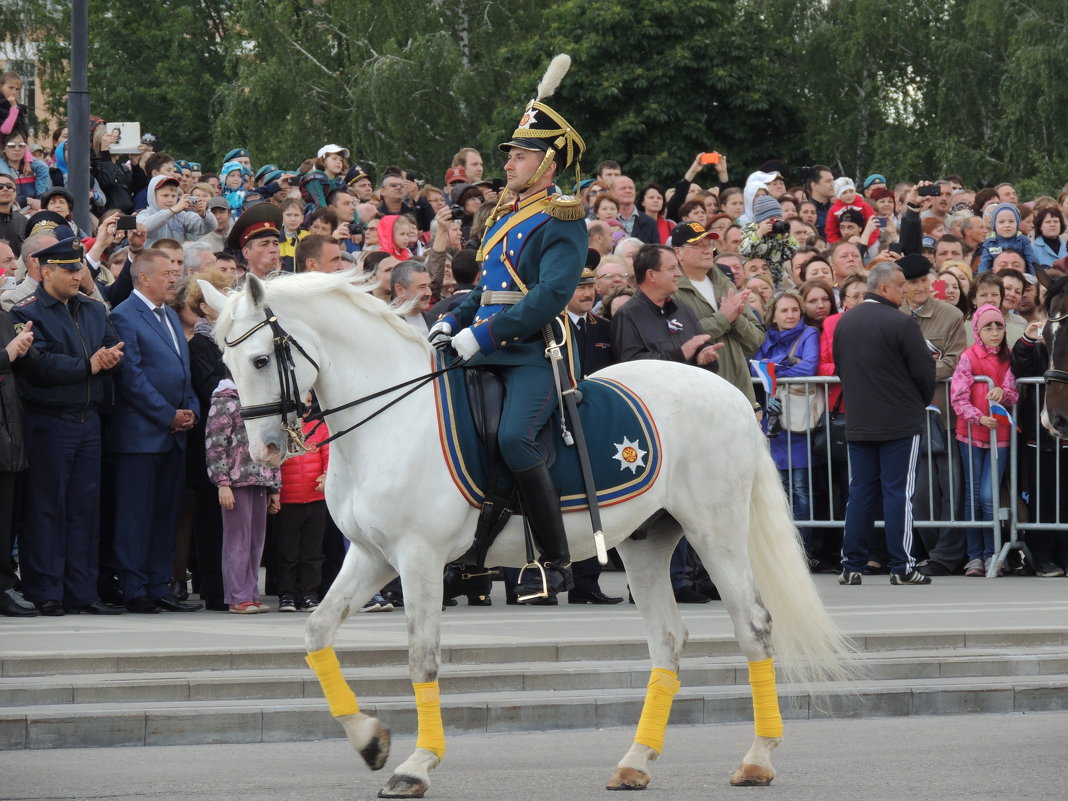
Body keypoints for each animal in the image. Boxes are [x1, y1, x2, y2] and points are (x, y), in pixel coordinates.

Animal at [200, 273, 850, 798]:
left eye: (258, 361)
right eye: (225, 367)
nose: (265, 451)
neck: (389, 419)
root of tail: (730, 393)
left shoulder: (416, 559)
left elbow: (421, 658)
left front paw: (415, 764)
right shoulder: (370, 557)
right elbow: (315, 632)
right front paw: (369, 741)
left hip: (715, 531)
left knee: (754, 627)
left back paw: (757, 758)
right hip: (645, 541)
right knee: (668, 640)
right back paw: (635, 762)